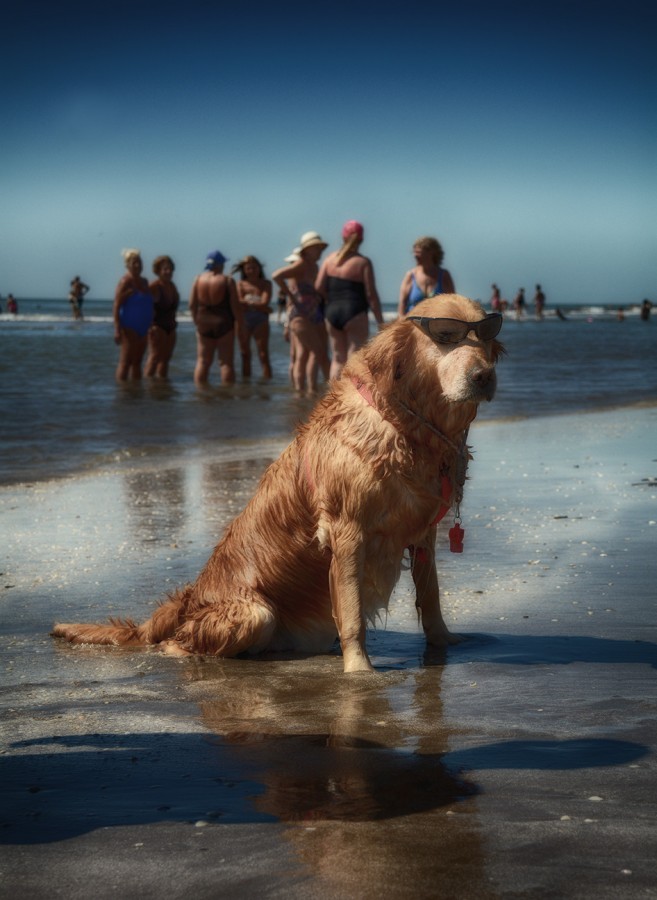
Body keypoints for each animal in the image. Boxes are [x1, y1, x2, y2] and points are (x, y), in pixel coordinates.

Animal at [53, 298, 502, 676]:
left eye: (486, 335)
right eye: (446, 335)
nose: (484, 376)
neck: (404, 425)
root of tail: (187, 599)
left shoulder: (423, 531)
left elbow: (432, 597)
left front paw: (443, 642)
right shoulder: (347, 532)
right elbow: (353, 612)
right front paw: (359, 671)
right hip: (254, 615)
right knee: (177, 644)